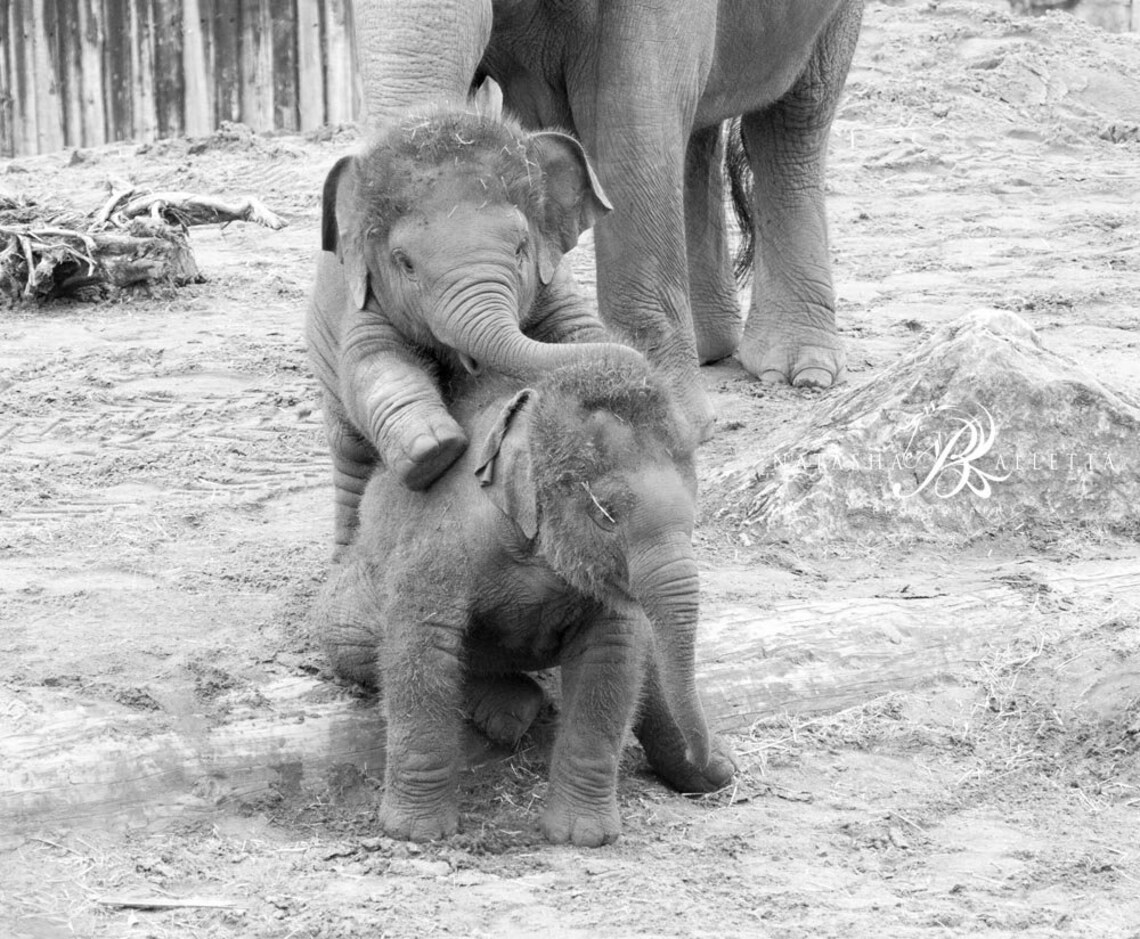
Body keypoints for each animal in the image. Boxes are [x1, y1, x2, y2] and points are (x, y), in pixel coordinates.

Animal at [307, 102, 646, 548]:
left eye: (521, 248)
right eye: (404, 263)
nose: (641, 365)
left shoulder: (554, 284)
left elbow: (578, 333)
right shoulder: (362, 297)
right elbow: (375, 366)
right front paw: (434, 450)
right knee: (350, 457)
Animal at [312, 349, 737, 846]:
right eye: (604, 514)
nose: (700, 752)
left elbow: (611, 659)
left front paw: (580, 837)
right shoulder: (440, 542)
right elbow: (421, 646)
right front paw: (416, 833)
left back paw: (715, 774)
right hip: (347, 597)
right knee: (361, 646)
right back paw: (511, 712)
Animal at [351, 0, 865, 440]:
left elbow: (632, 112)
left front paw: (659, 418)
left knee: (796, 116)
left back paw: (799, 370)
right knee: (698, 129)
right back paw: (708, 349)